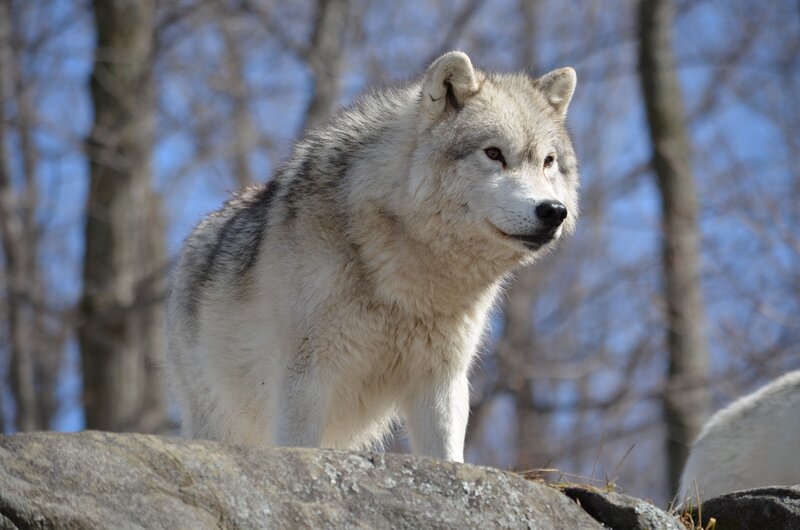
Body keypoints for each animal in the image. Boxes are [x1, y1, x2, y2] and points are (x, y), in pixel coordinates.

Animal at [165, 51, 579, 462]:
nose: (553, 211)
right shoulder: (306, 374)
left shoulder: (441, 378)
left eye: (547, 162)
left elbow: (447, 455)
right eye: (493, 154)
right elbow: (300, 444)